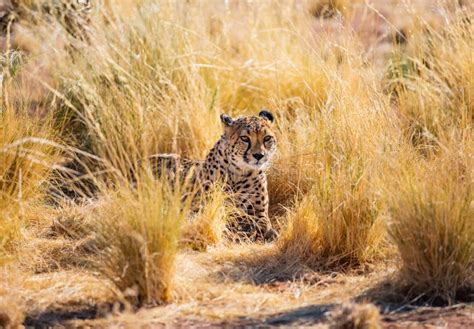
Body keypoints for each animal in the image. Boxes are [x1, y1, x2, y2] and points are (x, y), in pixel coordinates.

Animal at [149, 110, 278, 241]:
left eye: (267, 138)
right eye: (245, 138)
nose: (259, 155)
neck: (240, 172)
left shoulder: (260, 212)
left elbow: (262, 222)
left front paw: (263, 231)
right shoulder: (209, 207)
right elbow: (232, 218)